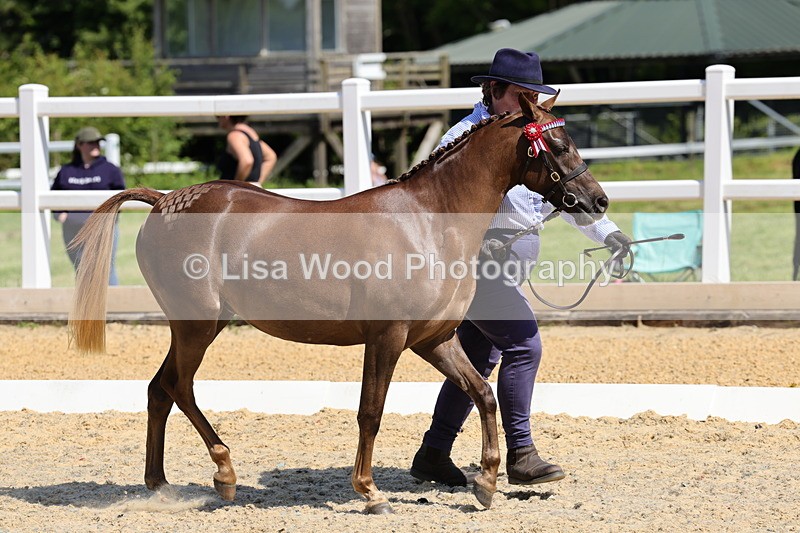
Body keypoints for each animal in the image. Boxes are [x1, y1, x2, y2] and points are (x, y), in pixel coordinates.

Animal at [69, 91, 608, 514]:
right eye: (560, 144)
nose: (597, 200)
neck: (428, 222)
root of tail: (164, 199)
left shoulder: (433, 340)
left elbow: (482, 393)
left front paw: (488, 483)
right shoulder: (386, 338)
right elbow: (371, 411)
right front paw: (369, 492)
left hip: (202, 326)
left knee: (159, 390)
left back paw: (160, 485)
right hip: (195, 326)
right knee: (179, 387)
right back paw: (224, 473)